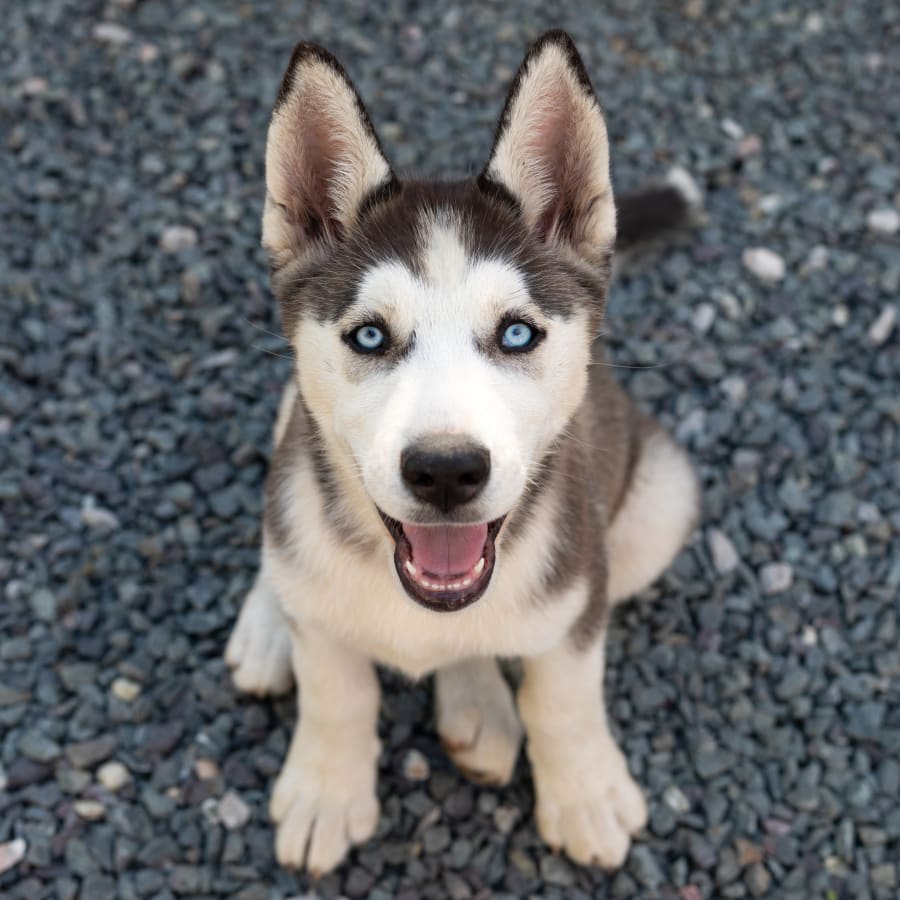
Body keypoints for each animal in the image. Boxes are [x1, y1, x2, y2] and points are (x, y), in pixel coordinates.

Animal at [223, 31, 696, 876]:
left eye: (517, 332)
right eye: (368, 335)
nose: (445, 471)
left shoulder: (580, 587)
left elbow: (563, 695)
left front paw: (584, 790)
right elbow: (336, 692)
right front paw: (325, 789)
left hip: (658, 508)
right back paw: (269, 621)